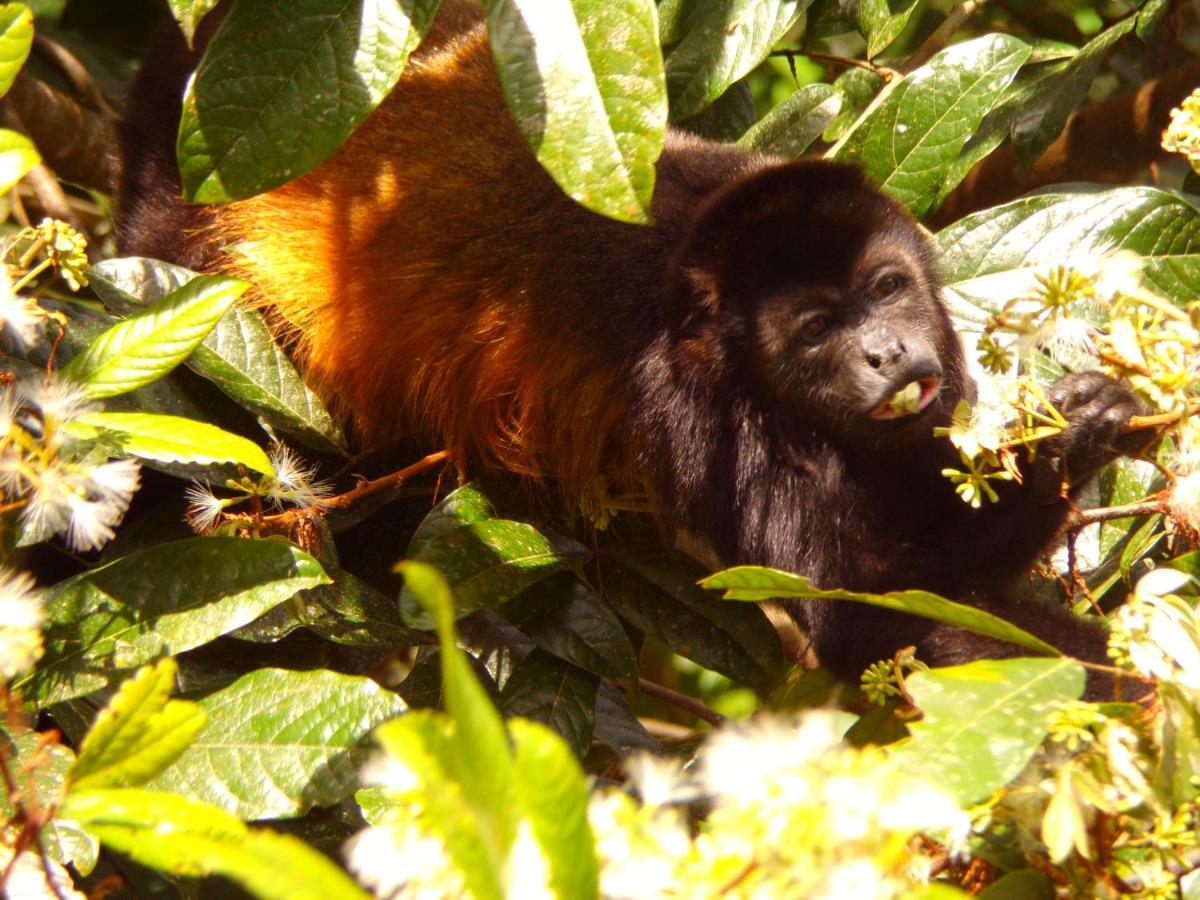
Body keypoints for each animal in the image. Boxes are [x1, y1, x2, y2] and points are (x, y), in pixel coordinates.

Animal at [117, 1, 1137, 696]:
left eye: (886, 288)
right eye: (815, 330)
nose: (886, 353)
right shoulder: (692, 403)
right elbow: (868, 613)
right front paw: (1069, 459)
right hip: (200, 279)